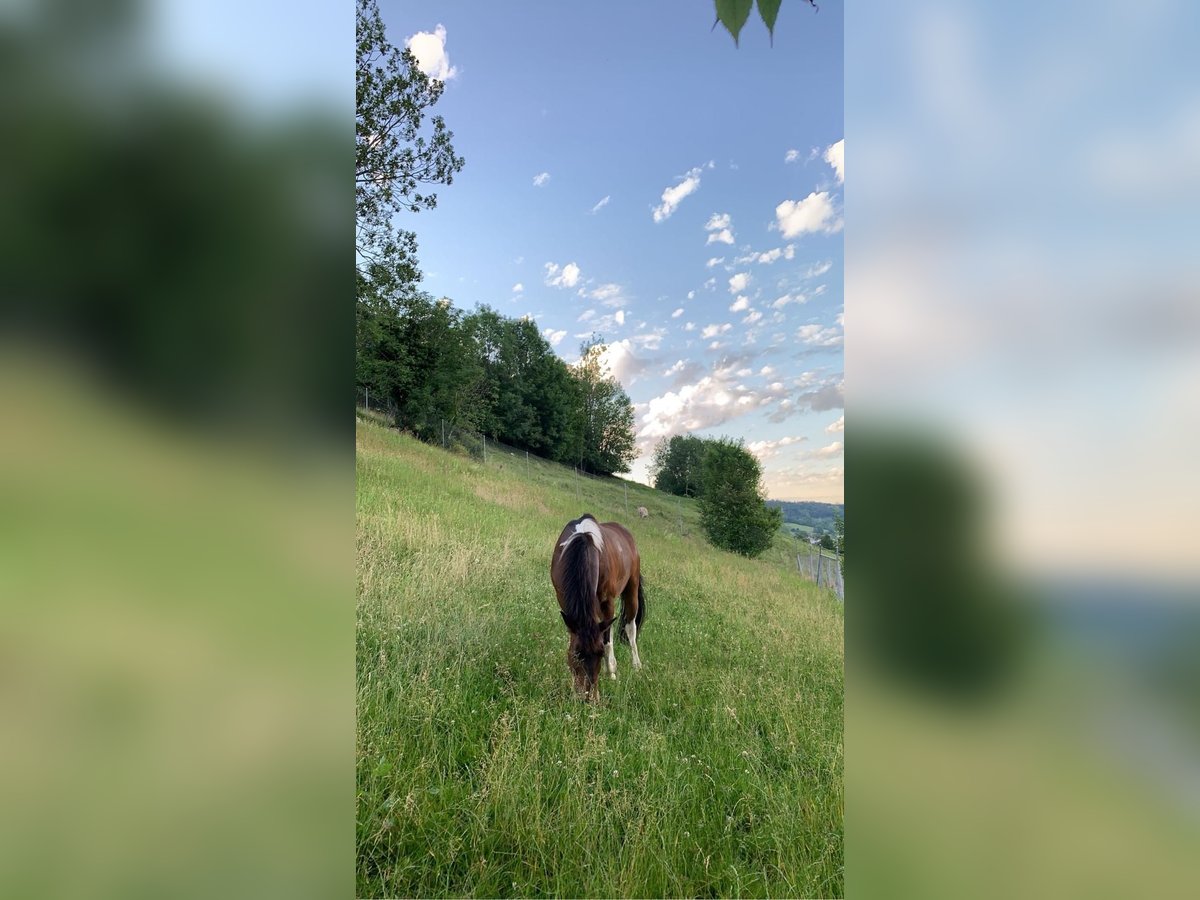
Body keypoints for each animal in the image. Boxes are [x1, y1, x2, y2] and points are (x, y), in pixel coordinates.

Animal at [549, 513, 648, 696]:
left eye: (600, 654)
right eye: (576, 654)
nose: (587, 695)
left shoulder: (607, 602)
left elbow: (607, 638)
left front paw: (612, 672)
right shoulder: (563, 599)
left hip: (631, 589)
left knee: (630, 628)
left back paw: (637, 665)